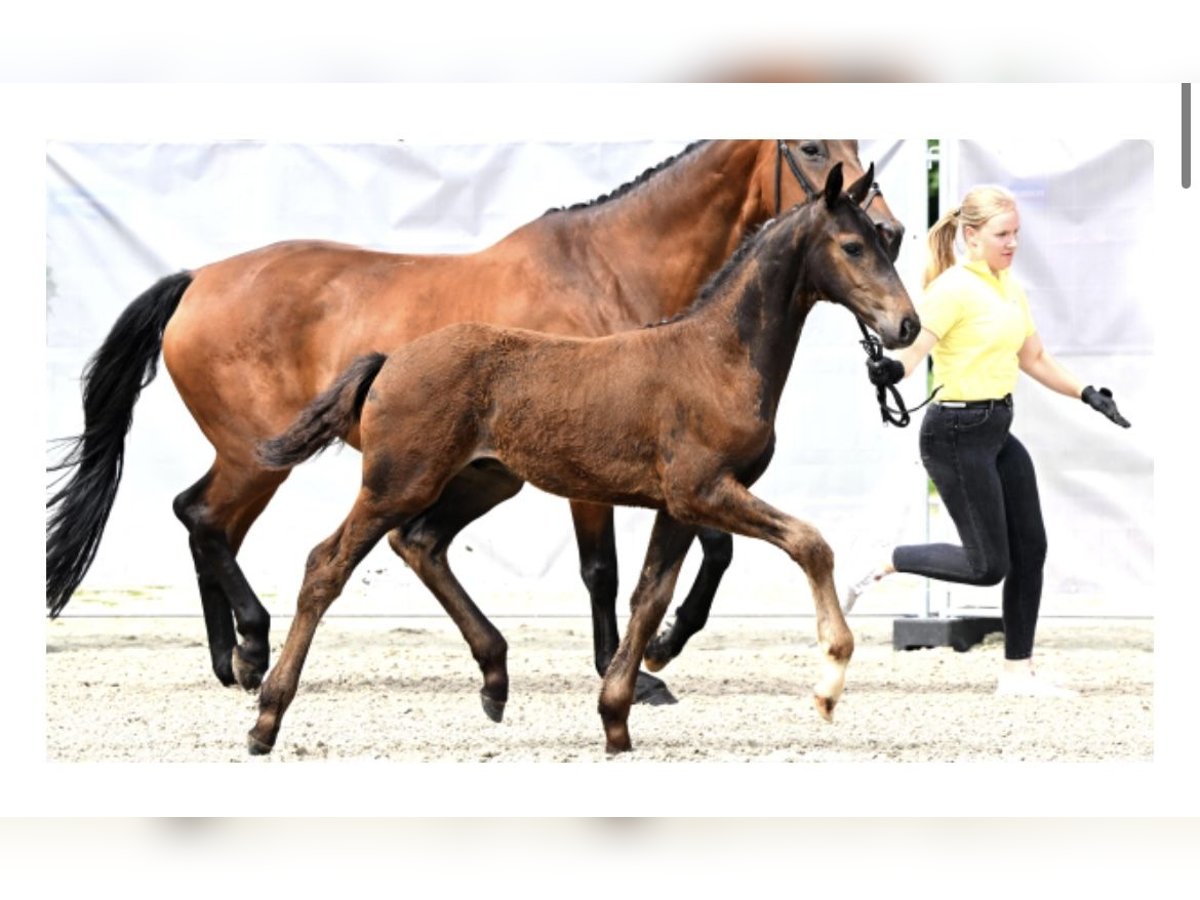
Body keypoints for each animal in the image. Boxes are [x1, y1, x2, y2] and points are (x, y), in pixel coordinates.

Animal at [248, 162, 912, 753]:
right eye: (853, 246)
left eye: (886, 243)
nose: (905, 325)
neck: (715, 354)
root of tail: (390, 358)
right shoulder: (702, 490)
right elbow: (810, 543)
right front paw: (829, 682)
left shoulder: (679, 506)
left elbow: (650, 597)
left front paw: (617, 718)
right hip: (398, 482)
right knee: (326, 565)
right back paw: (266, 718)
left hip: (485, 481)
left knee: (421, 542)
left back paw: (495, 680)